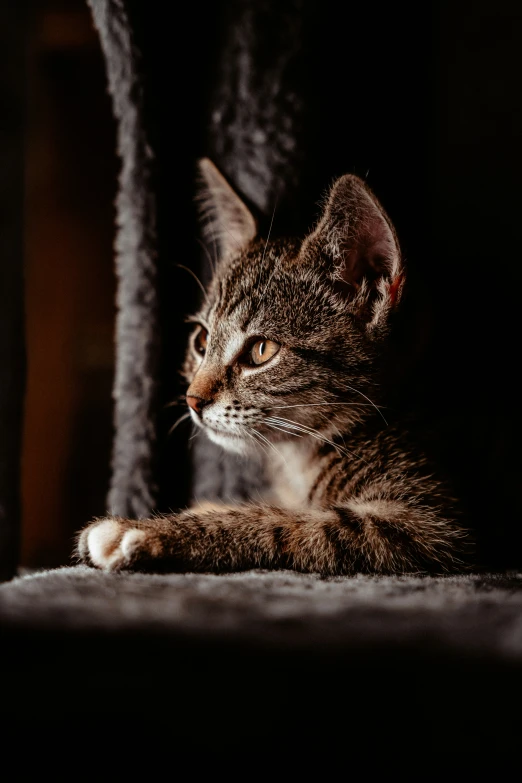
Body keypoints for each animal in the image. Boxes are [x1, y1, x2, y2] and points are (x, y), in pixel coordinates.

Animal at [77, 159, 468, 576]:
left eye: (261, 351)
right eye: (201, 341)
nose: (193, 400)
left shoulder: (429, 524)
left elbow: (290, 523)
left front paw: (144, 530)